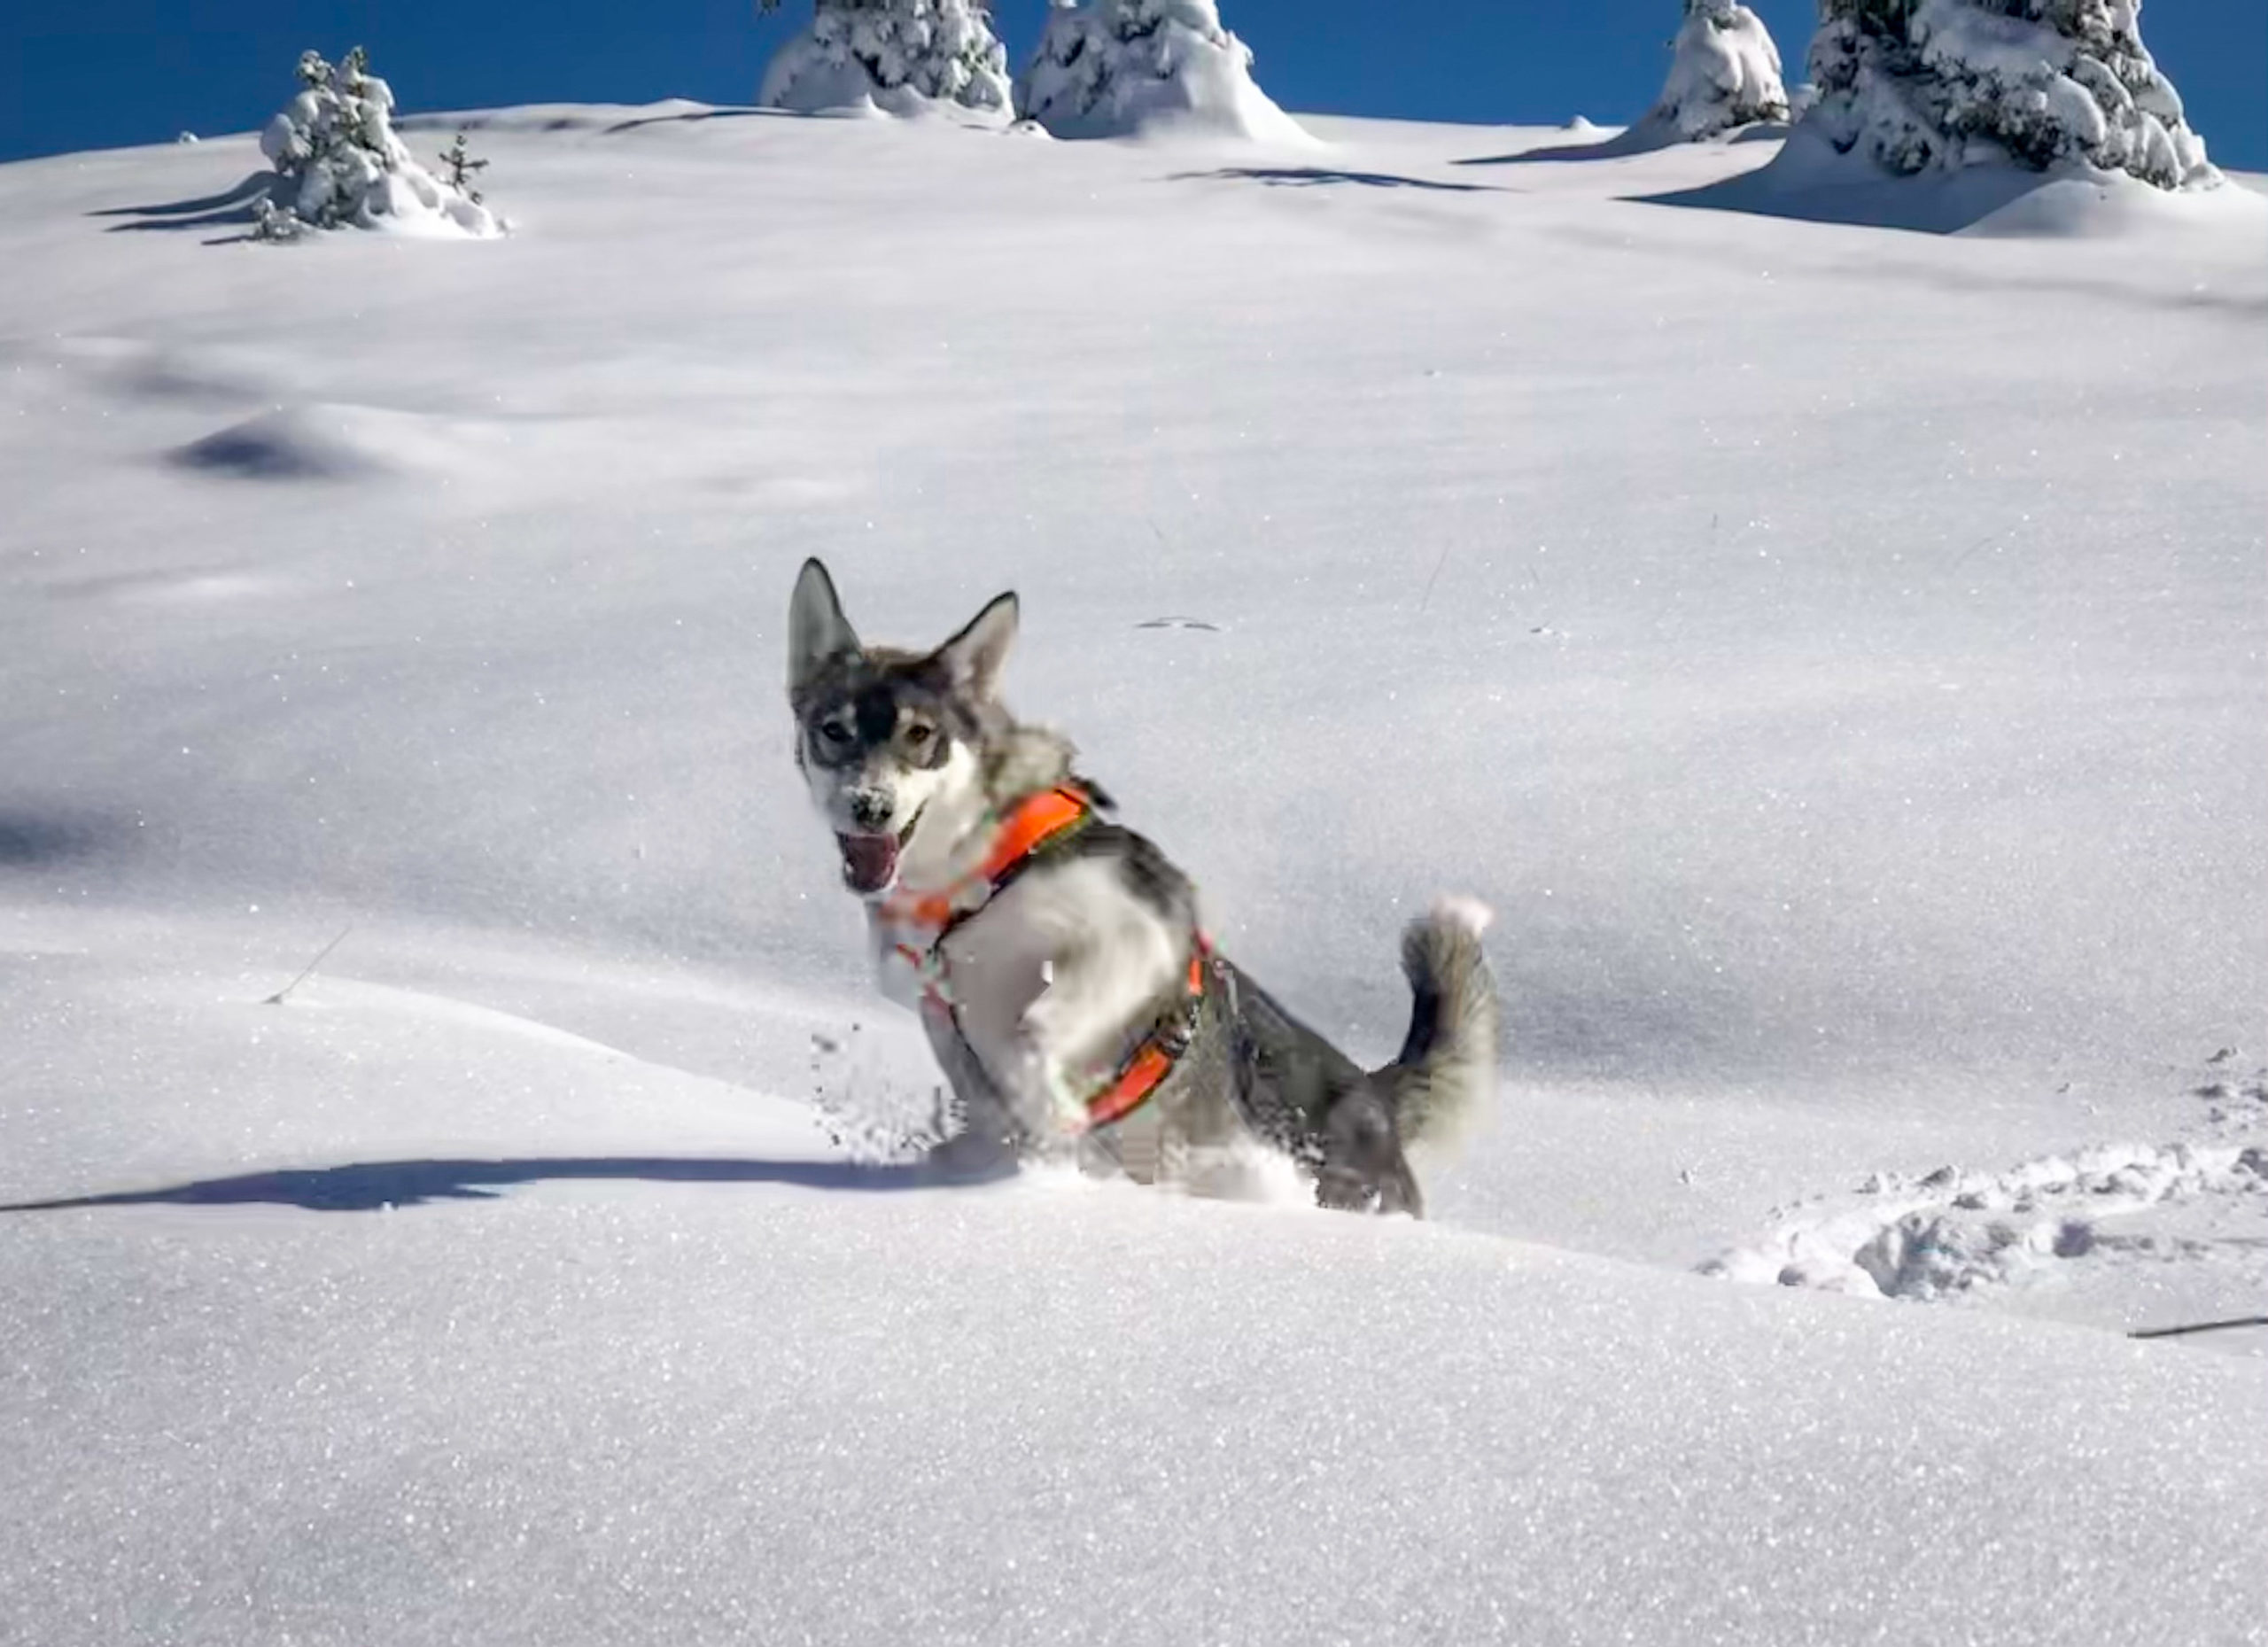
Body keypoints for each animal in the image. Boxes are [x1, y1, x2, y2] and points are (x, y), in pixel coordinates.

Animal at [788, 560, 1496, 1216]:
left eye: (919, 735)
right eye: (833, 731)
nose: (869, 807)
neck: (967, 883)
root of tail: (1374, 1096)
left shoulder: (1137, 932)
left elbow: (1034, 1031)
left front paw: (1055, 1117)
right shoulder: (939, 1011)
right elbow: (993, 1094)